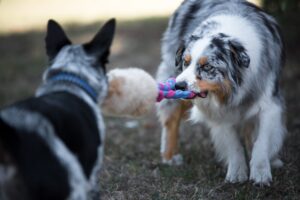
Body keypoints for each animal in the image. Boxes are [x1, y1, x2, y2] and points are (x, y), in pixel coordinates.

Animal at [157, 0, 286, 185]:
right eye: (185, 62)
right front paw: (237, 172)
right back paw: (169, 156)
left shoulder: (269, 104)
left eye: (207, 66)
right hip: (169, 72)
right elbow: (232, 143)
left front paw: (261, 171)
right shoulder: (218, 113)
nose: (178, 86)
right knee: (170, 119)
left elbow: (262, 140)